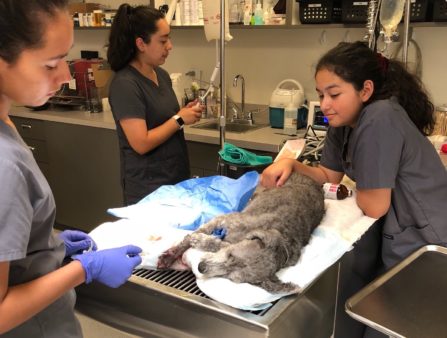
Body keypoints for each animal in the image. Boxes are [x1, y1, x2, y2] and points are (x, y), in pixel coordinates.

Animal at [158, 172, 326, 294]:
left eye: (230, 277)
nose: (201, 267)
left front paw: (200, 241)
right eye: (230, 254)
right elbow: (197, 236)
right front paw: (175, 252)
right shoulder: (227, 220)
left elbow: (217, 243)